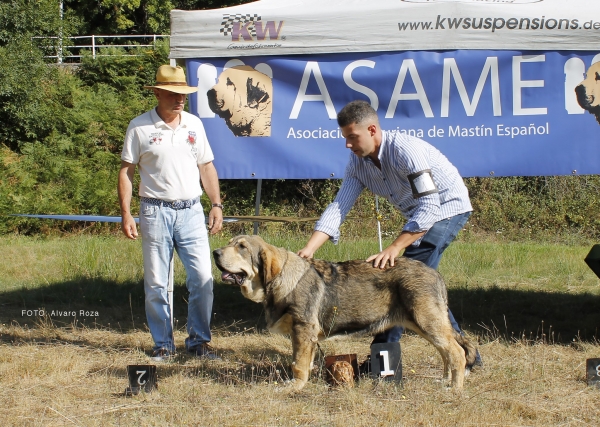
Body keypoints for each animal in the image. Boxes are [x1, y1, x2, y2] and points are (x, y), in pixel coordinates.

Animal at [213, 236, 476, 392]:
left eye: (242, 247)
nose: (215, 252)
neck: (282, 279)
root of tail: (435, 274)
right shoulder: (307, 336)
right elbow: (306, 361)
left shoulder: (302, 329)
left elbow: (298, 364)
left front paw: (294, 386)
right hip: (423, 325)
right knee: (447, 352)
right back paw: (445, 379)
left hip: (428, 321)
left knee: (457, 353)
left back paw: (455, 388)